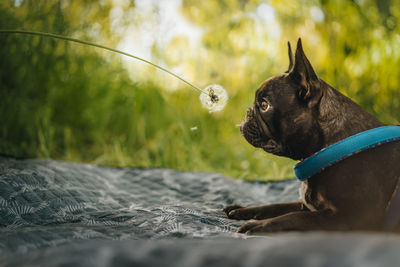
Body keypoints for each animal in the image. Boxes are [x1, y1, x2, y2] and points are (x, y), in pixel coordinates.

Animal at [223, 39, 398, 234]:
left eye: (264, 105)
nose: (247, 114)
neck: (330, 147)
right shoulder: (306, 205)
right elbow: (275, 206)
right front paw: (242, 209)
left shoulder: (351, 219)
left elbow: (292, 217)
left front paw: (257, 225)